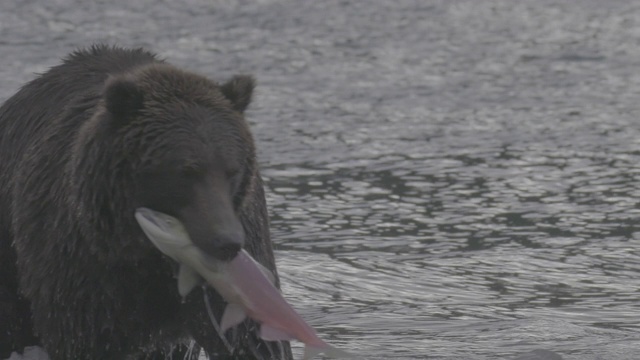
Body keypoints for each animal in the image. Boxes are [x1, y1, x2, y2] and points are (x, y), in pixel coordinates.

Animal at [0, 45, 292, 360]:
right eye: (186, 171)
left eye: (232, 170)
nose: (226, 241)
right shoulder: (81, 263)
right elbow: (82, 335)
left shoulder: (239, 258)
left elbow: (250, 338)